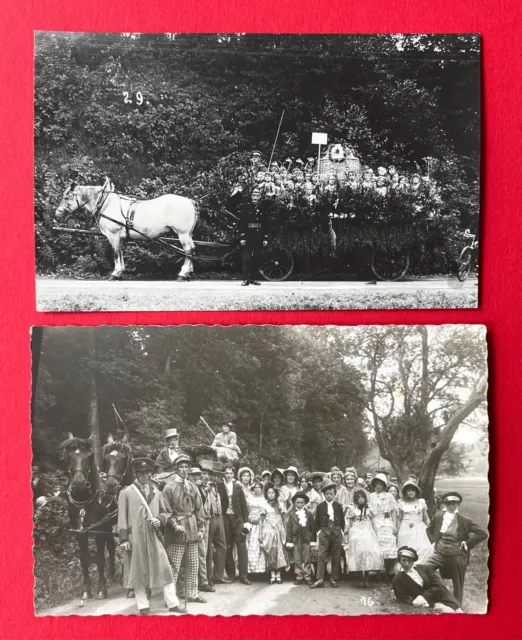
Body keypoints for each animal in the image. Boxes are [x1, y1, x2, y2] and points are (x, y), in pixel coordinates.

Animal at [54, 180, 197, 280]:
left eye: (66, 197)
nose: (57, 214)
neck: (105, 202)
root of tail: (190, 201)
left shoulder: (113, 235)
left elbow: (116, 253)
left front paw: (115, 274)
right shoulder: (120, 236)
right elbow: (121, 252)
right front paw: (120, 272)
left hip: (182, 234)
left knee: (187, 250)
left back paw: (183, 273)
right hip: (188, 234)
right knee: (192, 248)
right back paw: (189, 272)